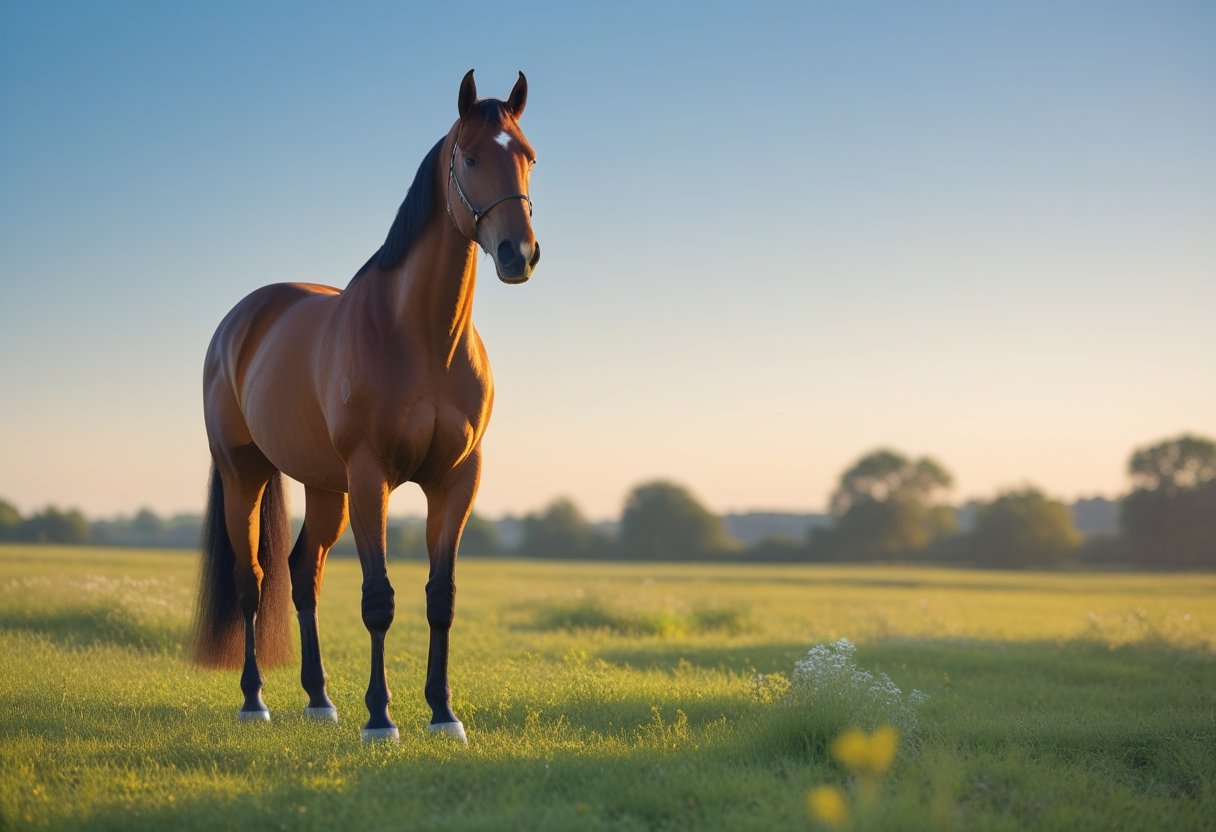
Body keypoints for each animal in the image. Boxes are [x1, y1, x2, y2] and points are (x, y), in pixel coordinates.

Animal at [188, 70, 539, 743]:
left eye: (529, 157)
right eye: (471, 157)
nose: (519, 253)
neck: (422, 337)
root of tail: (239, 323)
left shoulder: (457, 479)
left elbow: (440, 596)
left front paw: (443, 713)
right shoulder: (371, 474)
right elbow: (378, 599)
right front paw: (380, 717)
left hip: (327, 488)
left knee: (303, 573)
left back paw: (320, 700)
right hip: (248, 474)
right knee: (253, 583)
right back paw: (254, 700)